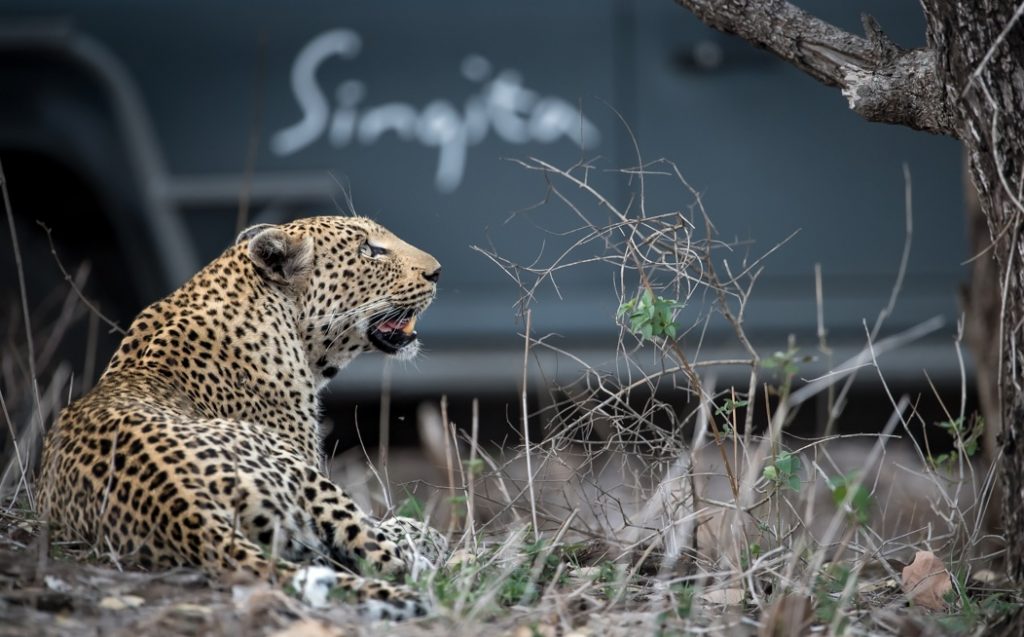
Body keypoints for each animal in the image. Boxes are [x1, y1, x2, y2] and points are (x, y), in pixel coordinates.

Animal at [37, 215, 443, 620]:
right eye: (368, 250)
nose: (437, 272)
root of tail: (184, 506)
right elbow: (395, 531)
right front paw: (425, 532)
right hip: (306, 478)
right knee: (390, 557)